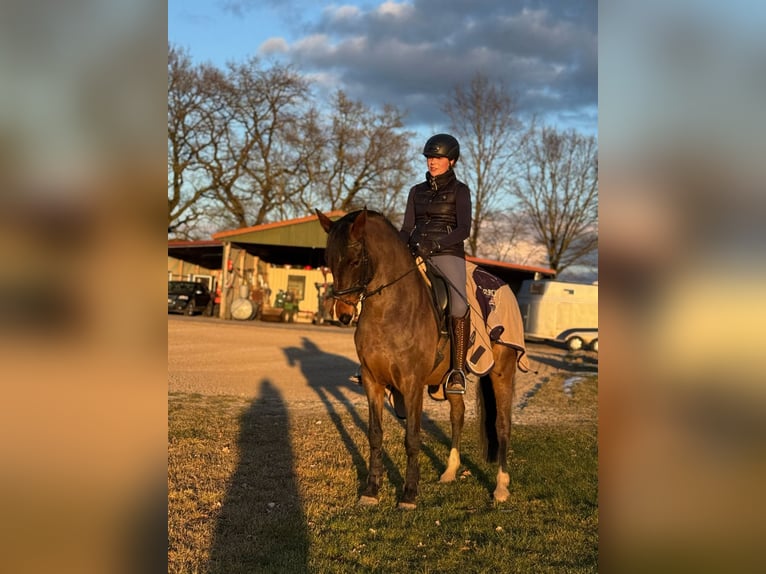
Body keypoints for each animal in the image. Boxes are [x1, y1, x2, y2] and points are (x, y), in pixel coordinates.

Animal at [316, 209, 520, 510]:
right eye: (328, 260)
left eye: (354, 260)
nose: (342, 313)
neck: (390, 310)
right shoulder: (372, 382)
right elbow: (375, 435)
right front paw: (371, 490)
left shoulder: (412, 385)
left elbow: (412, 437)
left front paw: (409, 494)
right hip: (451, 382)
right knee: (457, 416)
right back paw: (449, 472)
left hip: (502, 373)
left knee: (502, 425)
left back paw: (501, 487)